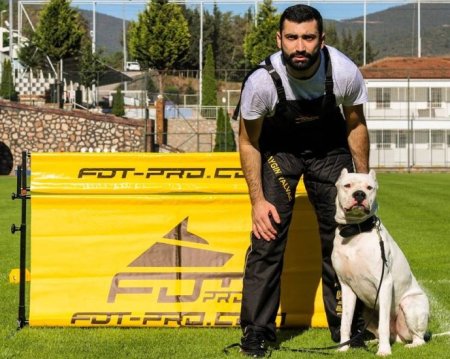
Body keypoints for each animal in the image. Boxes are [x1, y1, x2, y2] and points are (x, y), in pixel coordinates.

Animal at [332, 169, 430, 358]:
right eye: (347, 185)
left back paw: (409, 345)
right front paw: (343, 348)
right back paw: (373, 341)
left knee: (418, 338)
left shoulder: (384, 283)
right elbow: (345, 322)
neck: (355, 233)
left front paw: (384, 351)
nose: (359, 194)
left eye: (369, 188)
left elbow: (383, 324)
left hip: (410, 305)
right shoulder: (346, 287)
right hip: (367, 311)